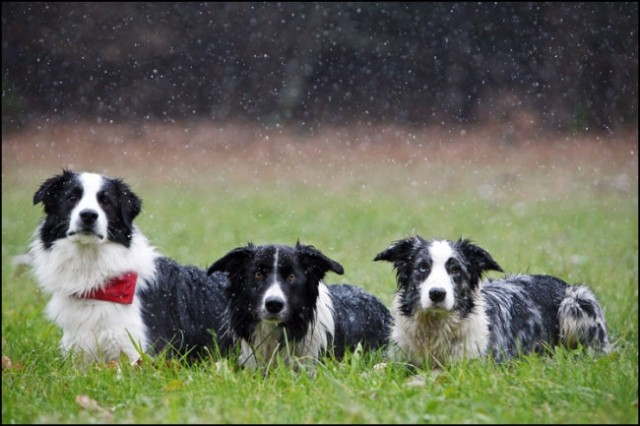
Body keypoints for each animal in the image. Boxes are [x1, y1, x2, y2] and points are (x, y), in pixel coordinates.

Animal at [376, 235, 608, 368]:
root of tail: (560, 282)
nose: (437, 294)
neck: (434, 329)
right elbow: (380, 368)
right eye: (423, 267)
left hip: (577, 302)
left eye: (456, 270)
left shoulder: (478, 366)